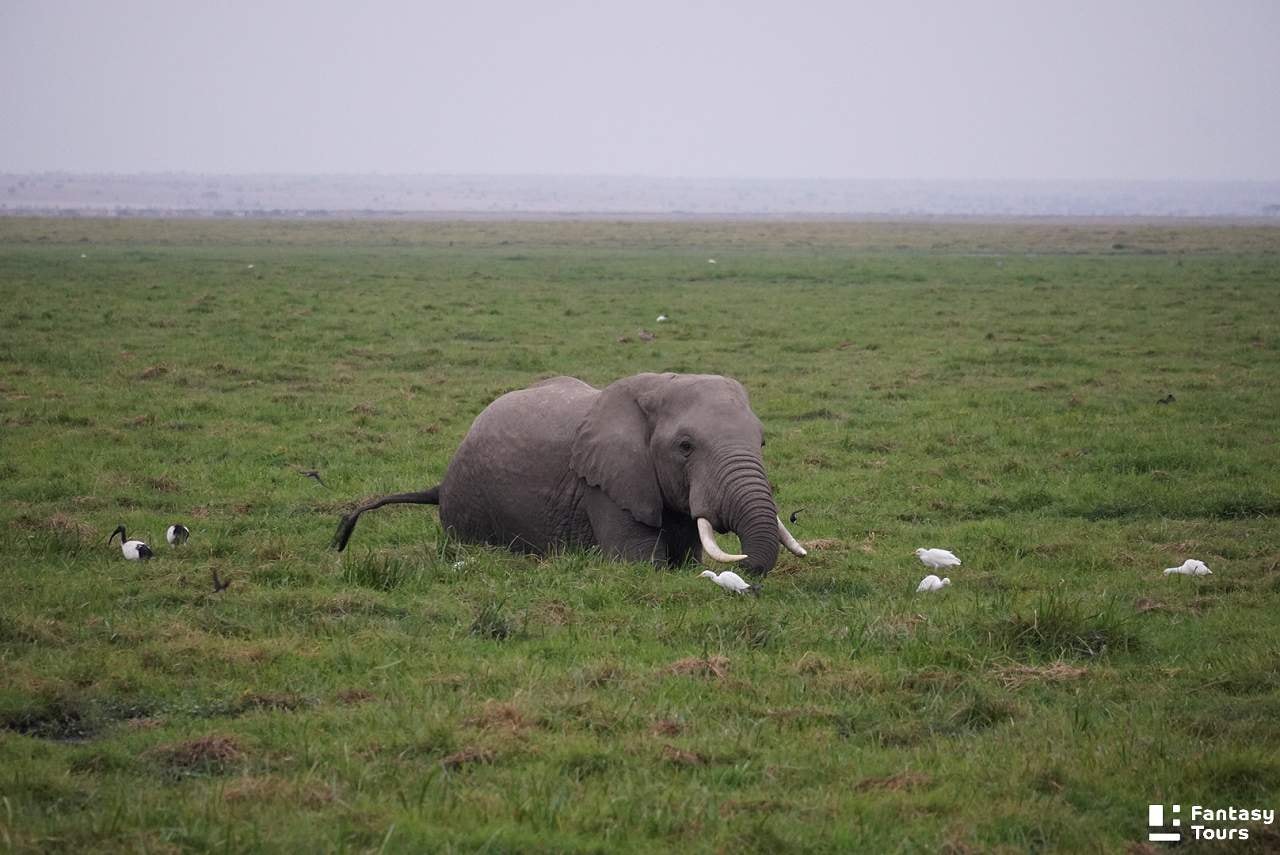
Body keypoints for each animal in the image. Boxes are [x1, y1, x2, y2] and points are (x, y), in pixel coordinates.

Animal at [333, 372, 807, 576]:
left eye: (762, 442)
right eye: (685, 447)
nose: (747, 571)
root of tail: (441, 483)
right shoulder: (606, 486)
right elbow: (640, 564)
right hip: (466, 510)